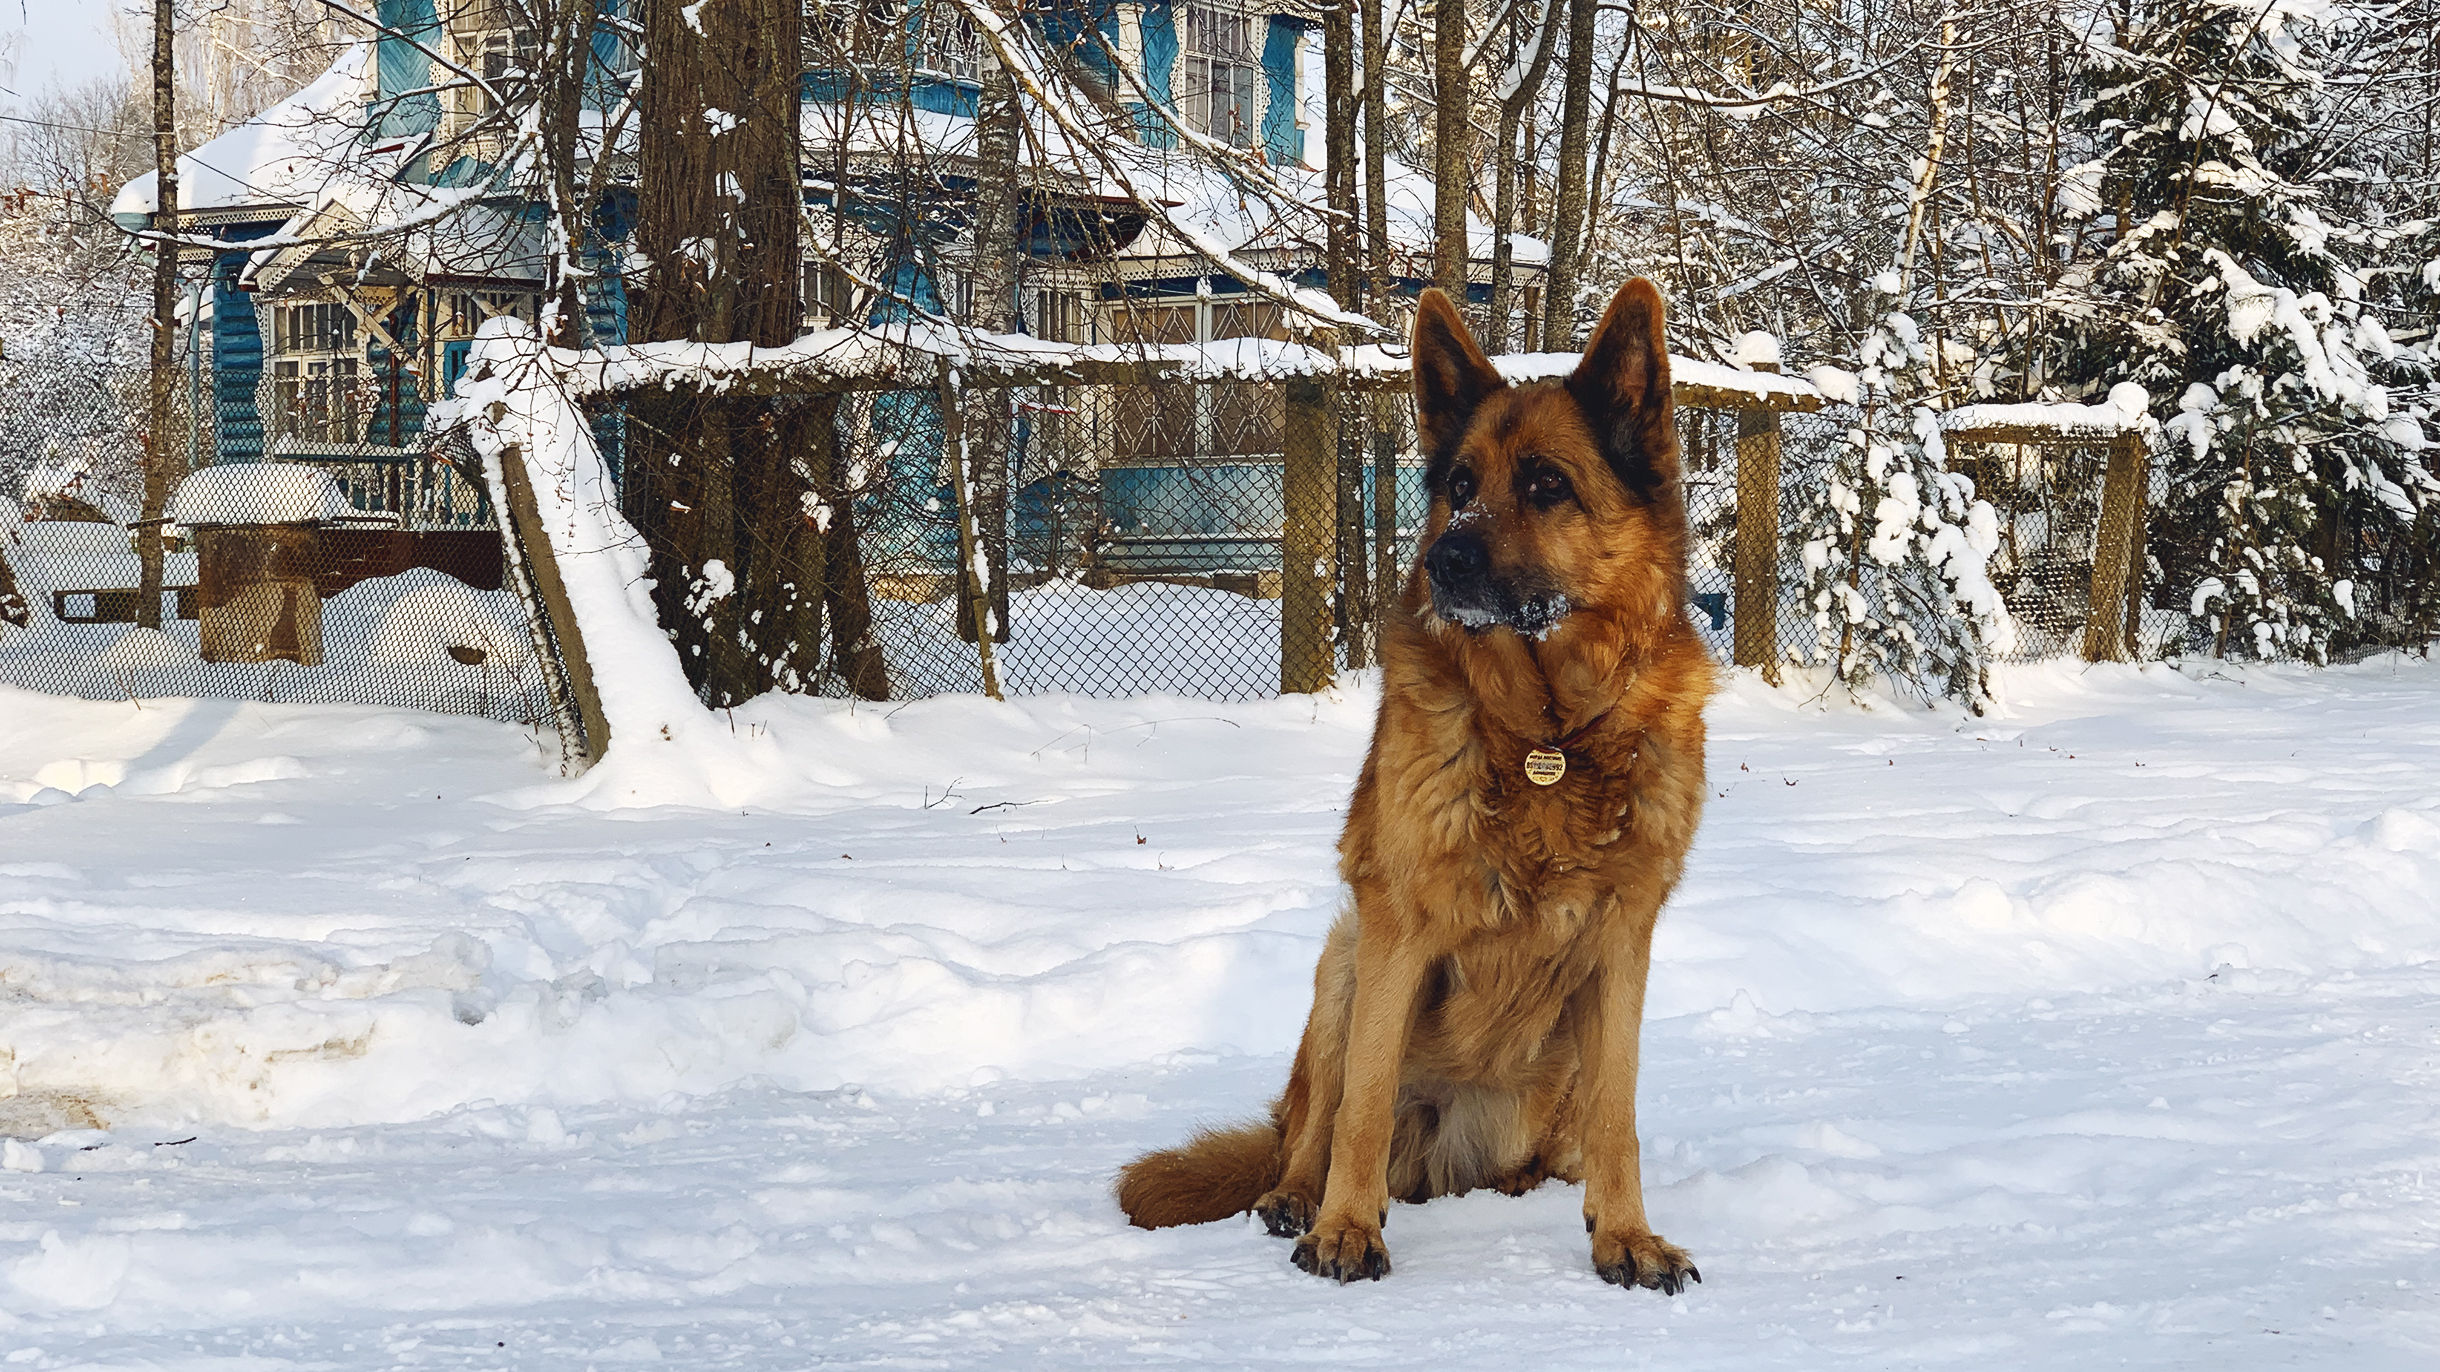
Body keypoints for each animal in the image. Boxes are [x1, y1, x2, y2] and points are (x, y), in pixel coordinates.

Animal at [1117, 274, 1708, 1279]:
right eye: (1460, 486)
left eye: (1547, 485)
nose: (1443, 560)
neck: (1546, 737)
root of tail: (1444, 1159)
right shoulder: (1395, 929)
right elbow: (1362, 1103)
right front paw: (1346, 1229)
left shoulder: (1623, 944)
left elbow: (1619, 1117)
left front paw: (1626, 1234)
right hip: (1342, 964)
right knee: (1312, 1129)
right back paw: (1296, 1199)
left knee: (1557, 1144)